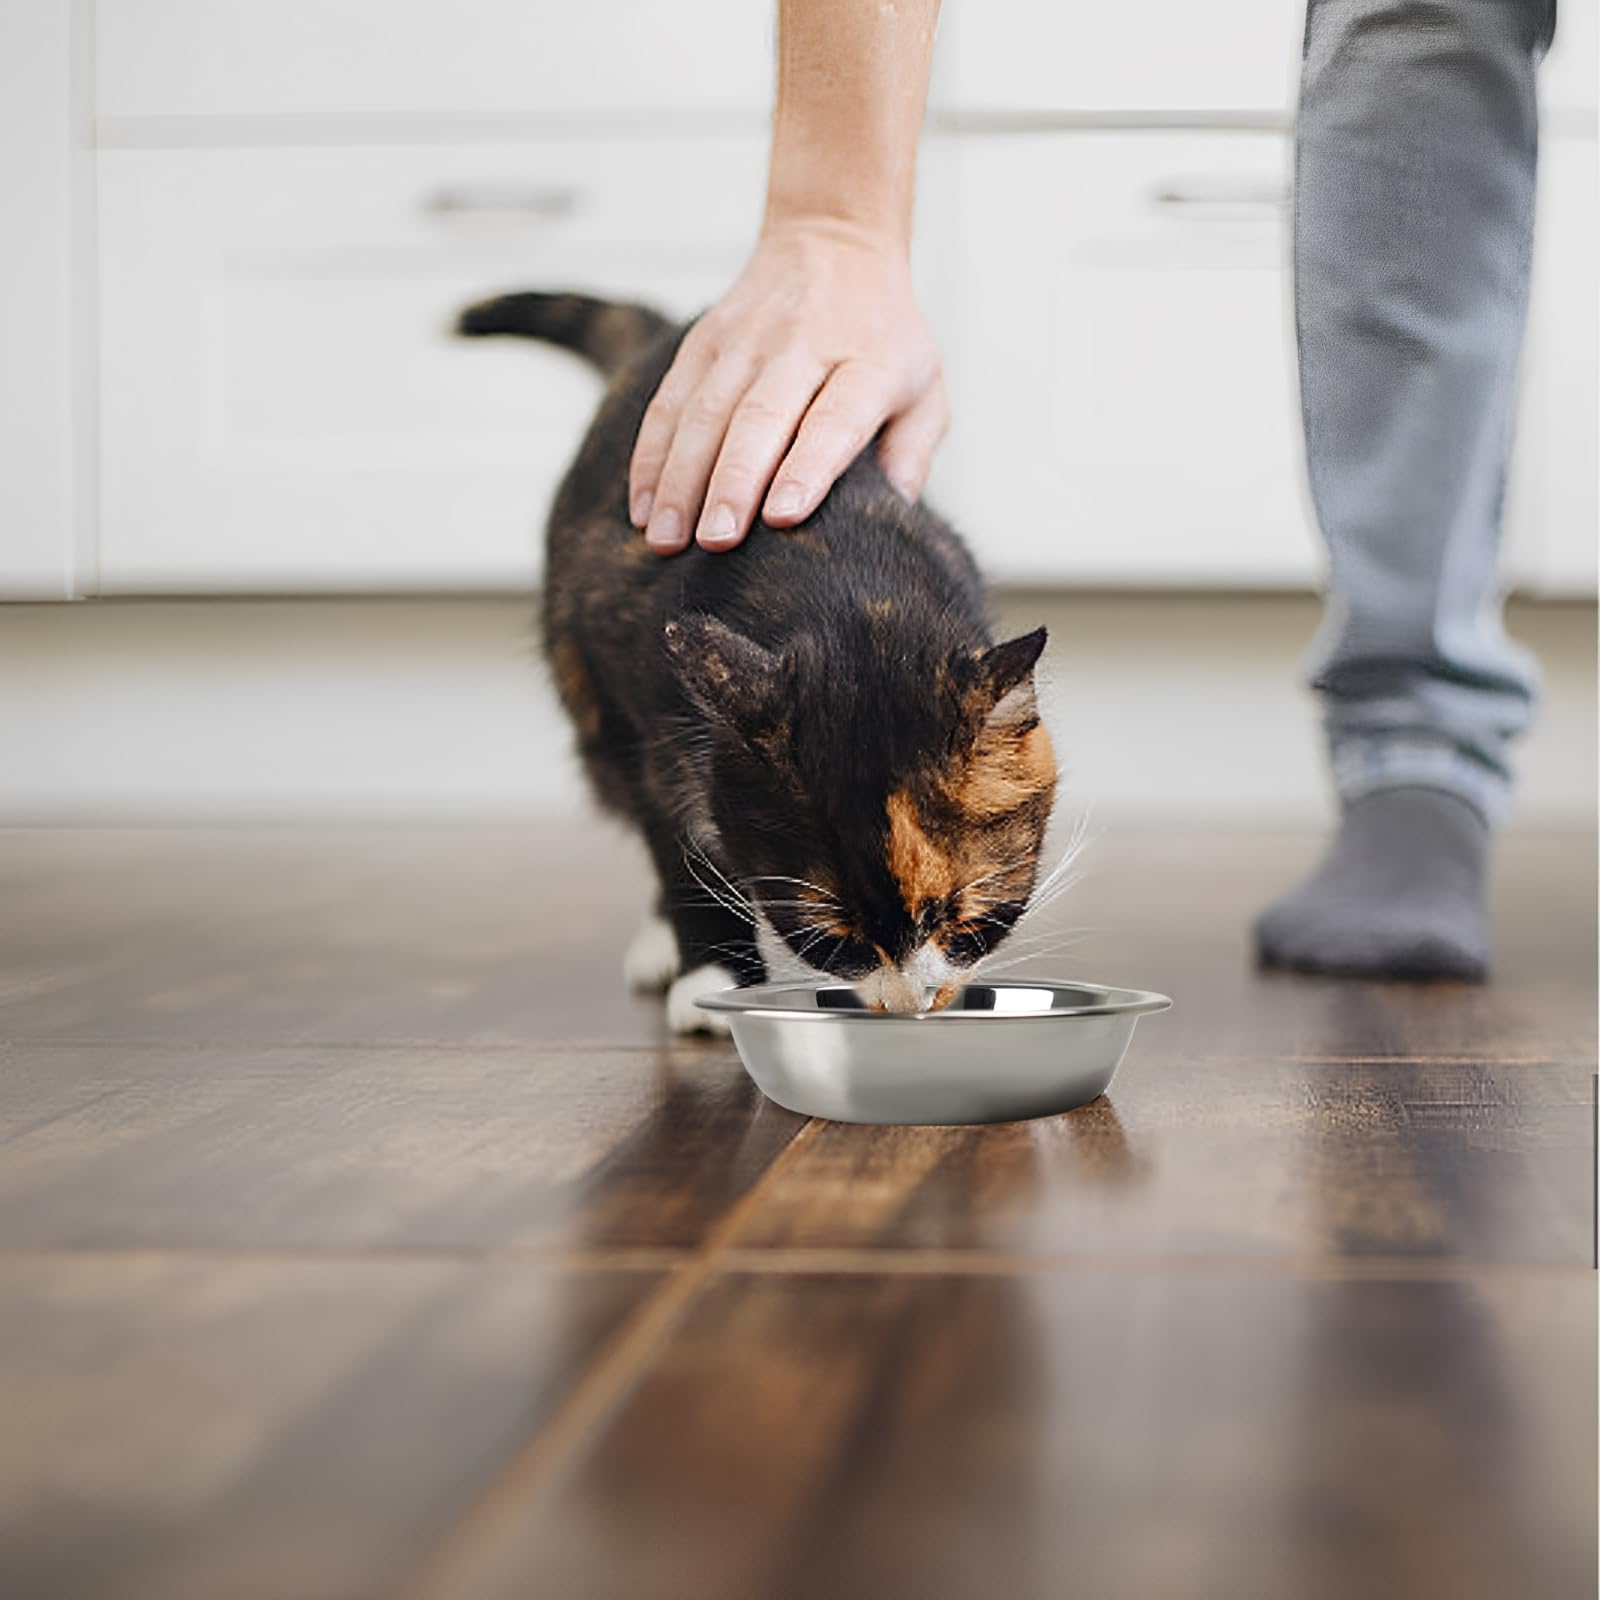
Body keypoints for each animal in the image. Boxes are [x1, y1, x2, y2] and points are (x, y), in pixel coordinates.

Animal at [460, 292, 1062, 1030]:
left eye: (960, 920)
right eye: (832, 940)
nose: (909, 1004)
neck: (846, 597)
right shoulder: (649, 714)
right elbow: (679, 843)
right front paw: (713, 978)